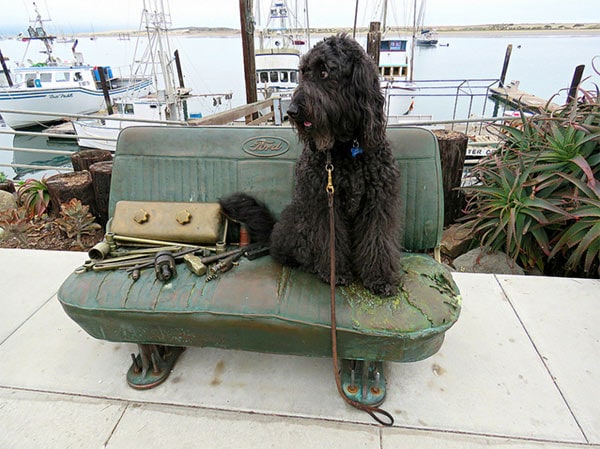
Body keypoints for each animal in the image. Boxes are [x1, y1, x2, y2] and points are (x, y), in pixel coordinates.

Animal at [218, 34, 400, 294]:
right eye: (303, 73)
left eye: (324, 72)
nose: (293, 111)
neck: (346, 148)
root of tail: (274, 229)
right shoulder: (325, 205)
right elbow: (332, 241)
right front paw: (335, 272)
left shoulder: (377, 203)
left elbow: (378, 239)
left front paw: (381, 278)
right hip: (298, 223)